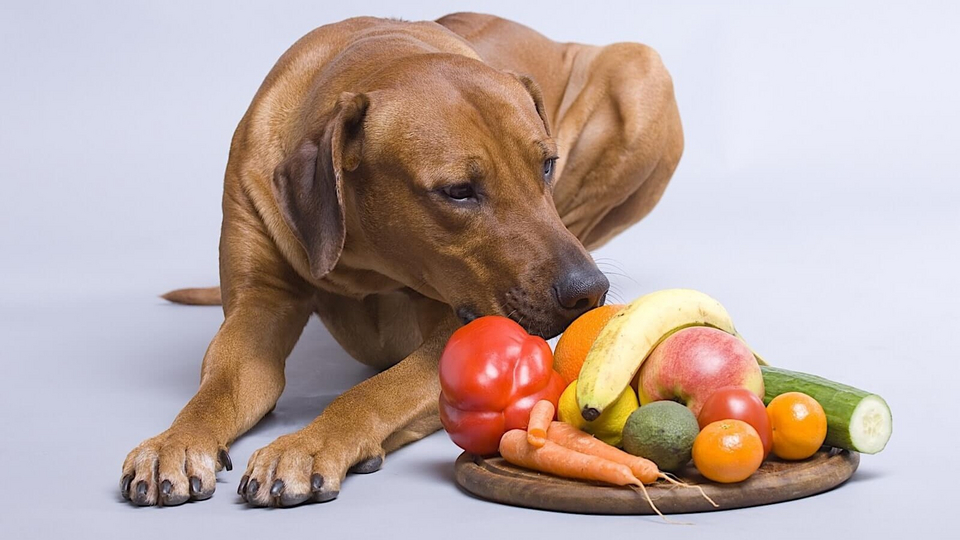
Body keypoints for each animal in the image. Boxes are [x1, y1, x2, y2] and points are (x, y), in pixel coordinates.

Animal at [118, 14, 684, 508]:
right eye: (457, 191)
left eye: (546, 165)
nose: (588, 290)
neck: (366, 260)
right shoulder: (259, 304)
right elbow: (222, 385)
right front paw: (175, 442)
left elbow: (375, 393)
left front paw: (307, 444)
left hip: (640, 68)